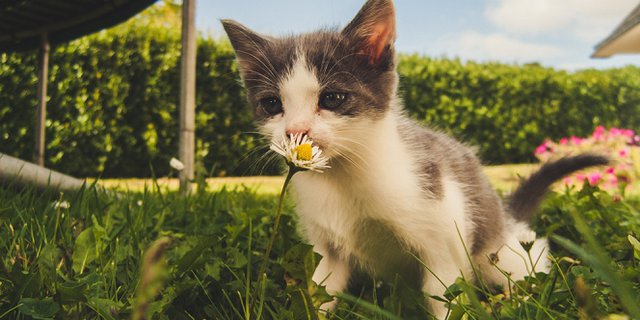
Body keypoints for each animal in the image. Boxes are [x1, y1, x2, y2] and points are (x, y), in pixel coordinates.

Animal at [222, 1, 608, 318]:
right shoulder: (325, 247)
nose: (296, 131)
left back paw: (519, 298)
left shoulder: (445, 231)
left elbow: (445, 295)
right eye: (272, 104)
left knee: (527, 258)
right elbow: (321, 290)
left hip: (497, 249)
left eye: (331, 98)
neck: (344, 176)